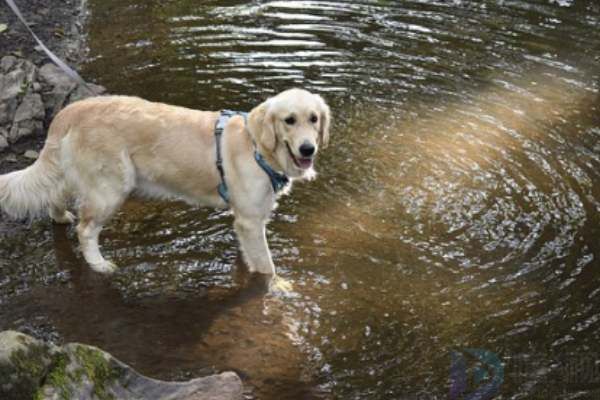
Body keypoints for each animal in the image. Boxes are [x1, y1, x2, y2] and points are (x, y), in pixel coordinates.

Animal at [0, 88, 328, 276]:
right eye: (289, 120)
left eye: (314, 119)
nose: (308, 149)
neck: (257, 146)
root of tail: (70, 110)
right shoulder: (250, 219)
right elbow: (266, 266)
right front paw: (278, 287)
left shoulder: (245, 221)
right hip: (110, 188)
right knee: (85, 229)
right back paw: (99, 264)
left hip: (75, 173)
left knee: (55, 197)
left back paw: (60, 217)